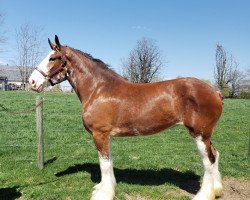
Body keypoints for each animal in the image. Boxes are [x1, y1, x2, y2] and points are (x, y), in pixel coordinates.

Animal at [28, 36, 223, 200]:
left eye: (52, 58)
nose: (32, 82)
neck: (98, 89)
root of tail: (215, 92)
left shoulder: (100, 134)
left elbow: (104, 163)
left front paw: (104, 194)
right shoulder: (106, 136)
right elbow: (107, 162)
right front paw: (102, 188)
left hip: (199, 134)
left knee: (208, 160)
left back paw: (203, 195)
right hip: (206, 136)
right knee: (215, 155)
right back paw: (217, 190)